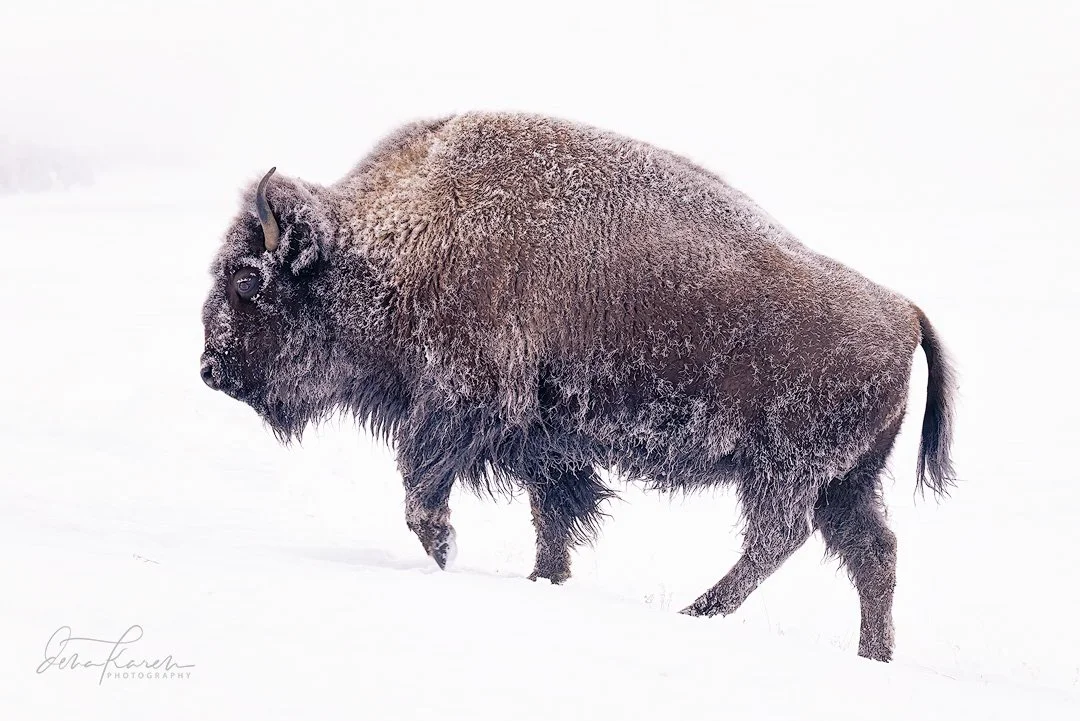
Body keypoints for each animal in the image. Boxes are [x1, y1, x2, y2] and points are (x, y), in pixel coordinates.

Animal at [201, 112, 956, 662]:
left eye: (245, 279)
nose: (211, 368)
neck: (403, 238)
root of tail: (902, 311)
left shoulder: (461, 408)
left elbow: (427, 493)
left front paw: (446, 554)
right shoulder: (538, 438)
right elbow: (553, 511)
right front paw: (546, 579)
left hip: (787, 471)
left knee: (783, 539)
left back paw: (697, 611)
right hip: (845, 483)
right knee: (871, 554)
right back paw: (870, 654)